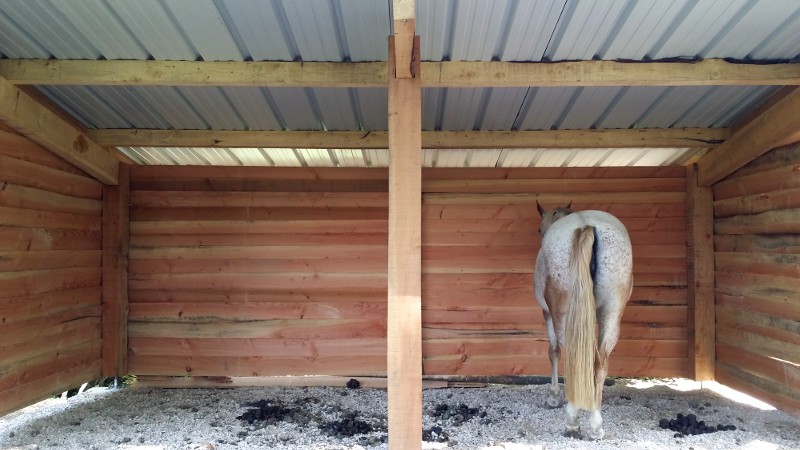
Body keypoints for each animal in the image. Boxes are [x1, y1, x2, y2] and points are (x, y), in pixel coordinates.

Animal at [536, 201, 636, 440]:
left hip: (564, 317)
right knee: (600, 363)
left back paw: (572, 421)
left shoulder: (547, 313)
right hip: (612, 313)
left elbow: (553, 352)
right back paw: (596, 424)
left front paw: (553, 396)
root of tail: (586, 225)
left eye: (539, 229)